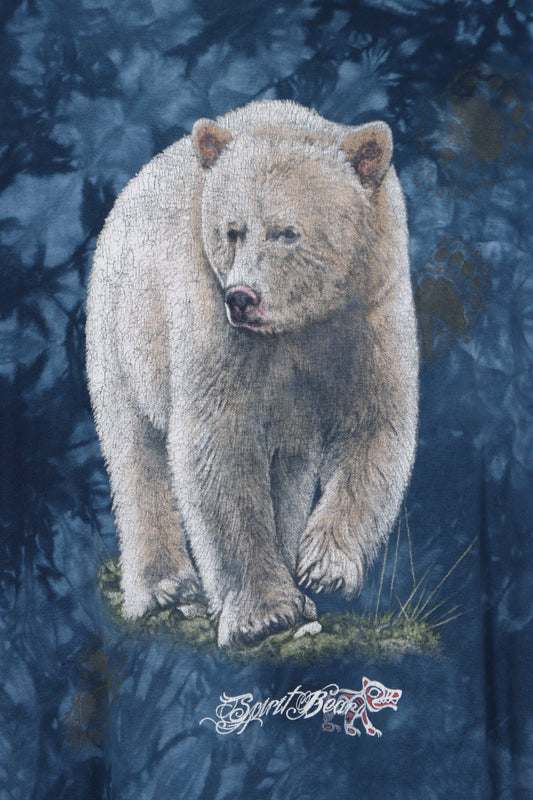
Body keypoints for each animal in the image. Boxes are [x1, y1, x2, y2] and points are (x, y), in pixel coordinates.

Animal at [85, 99, 418, 648]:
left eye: (288, 232)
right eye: (232, 230)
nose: (243, 298)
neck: (299, 325)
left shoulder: (368, 312)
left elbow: (374, 425)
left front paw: (323, 566)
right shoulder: (210, 316)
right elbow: (218, 445)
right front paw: (264, 613)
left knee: (289, 471)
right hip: (123, 336)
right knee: (136, 453)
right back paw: (162, 588)